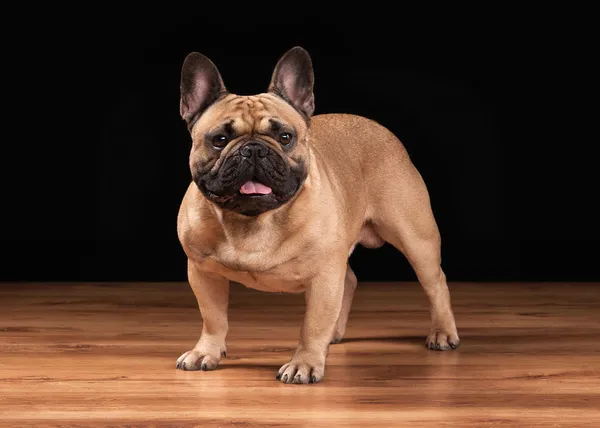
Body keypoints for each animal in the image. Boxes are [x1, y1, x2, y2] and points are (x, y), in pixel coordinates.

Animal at [175, 46, 460, 384]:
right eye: (219, 140)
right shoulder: (203, 272)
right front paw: (205, 351)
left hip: (414, 237)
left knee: (435, 282)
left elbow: (312, 324)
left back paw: (443, 333)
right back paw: (333, 334)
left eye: (285, 137)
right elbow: (214, 317)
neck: (254, 220)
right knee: (349, 280)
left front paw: (305, 363)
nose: (254, 149)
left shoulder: (323, 275)